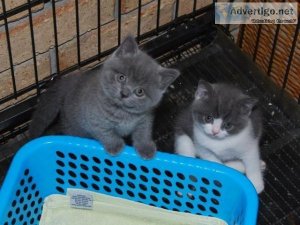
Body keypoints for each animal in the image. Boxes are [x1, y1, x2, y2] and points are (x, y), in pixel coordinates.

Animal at [29, 35, 180, 159]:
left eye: (140, 92)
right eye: (121, 77)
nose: (124, 93)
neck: (124, 112)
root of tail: (76, 79)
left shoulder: (145, 118)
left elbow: (143, 132)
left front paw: (146, 148)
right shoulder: (95, 120)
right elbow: (106, 133)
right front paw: (115, 146)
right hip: (73, 125)